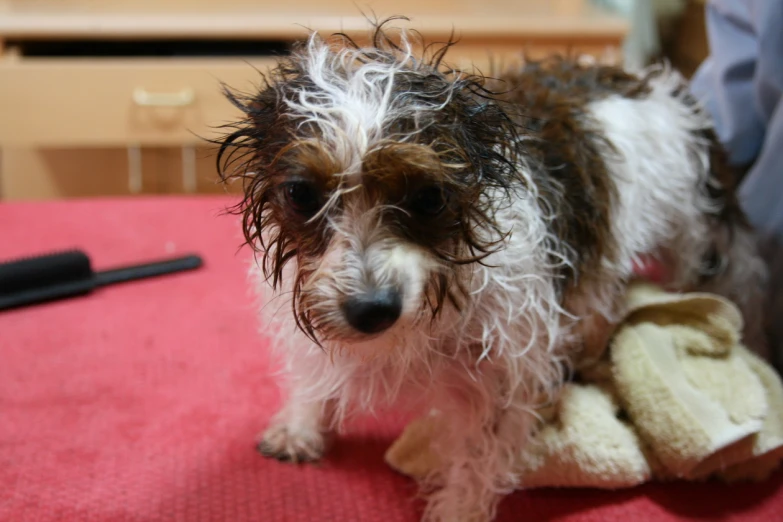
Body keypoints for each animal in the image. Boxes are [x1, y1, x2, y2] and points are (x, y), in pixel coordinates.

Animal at [217, 20, 768, 520]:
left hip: (693, 239)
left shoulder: (506, 367)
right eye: (301, 194)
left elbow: (480, 454)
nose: (371, 311)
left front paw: (457, 509)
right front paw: (305, 422)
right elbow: (313, 369)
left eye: (429, 198)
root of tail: (650, 81)